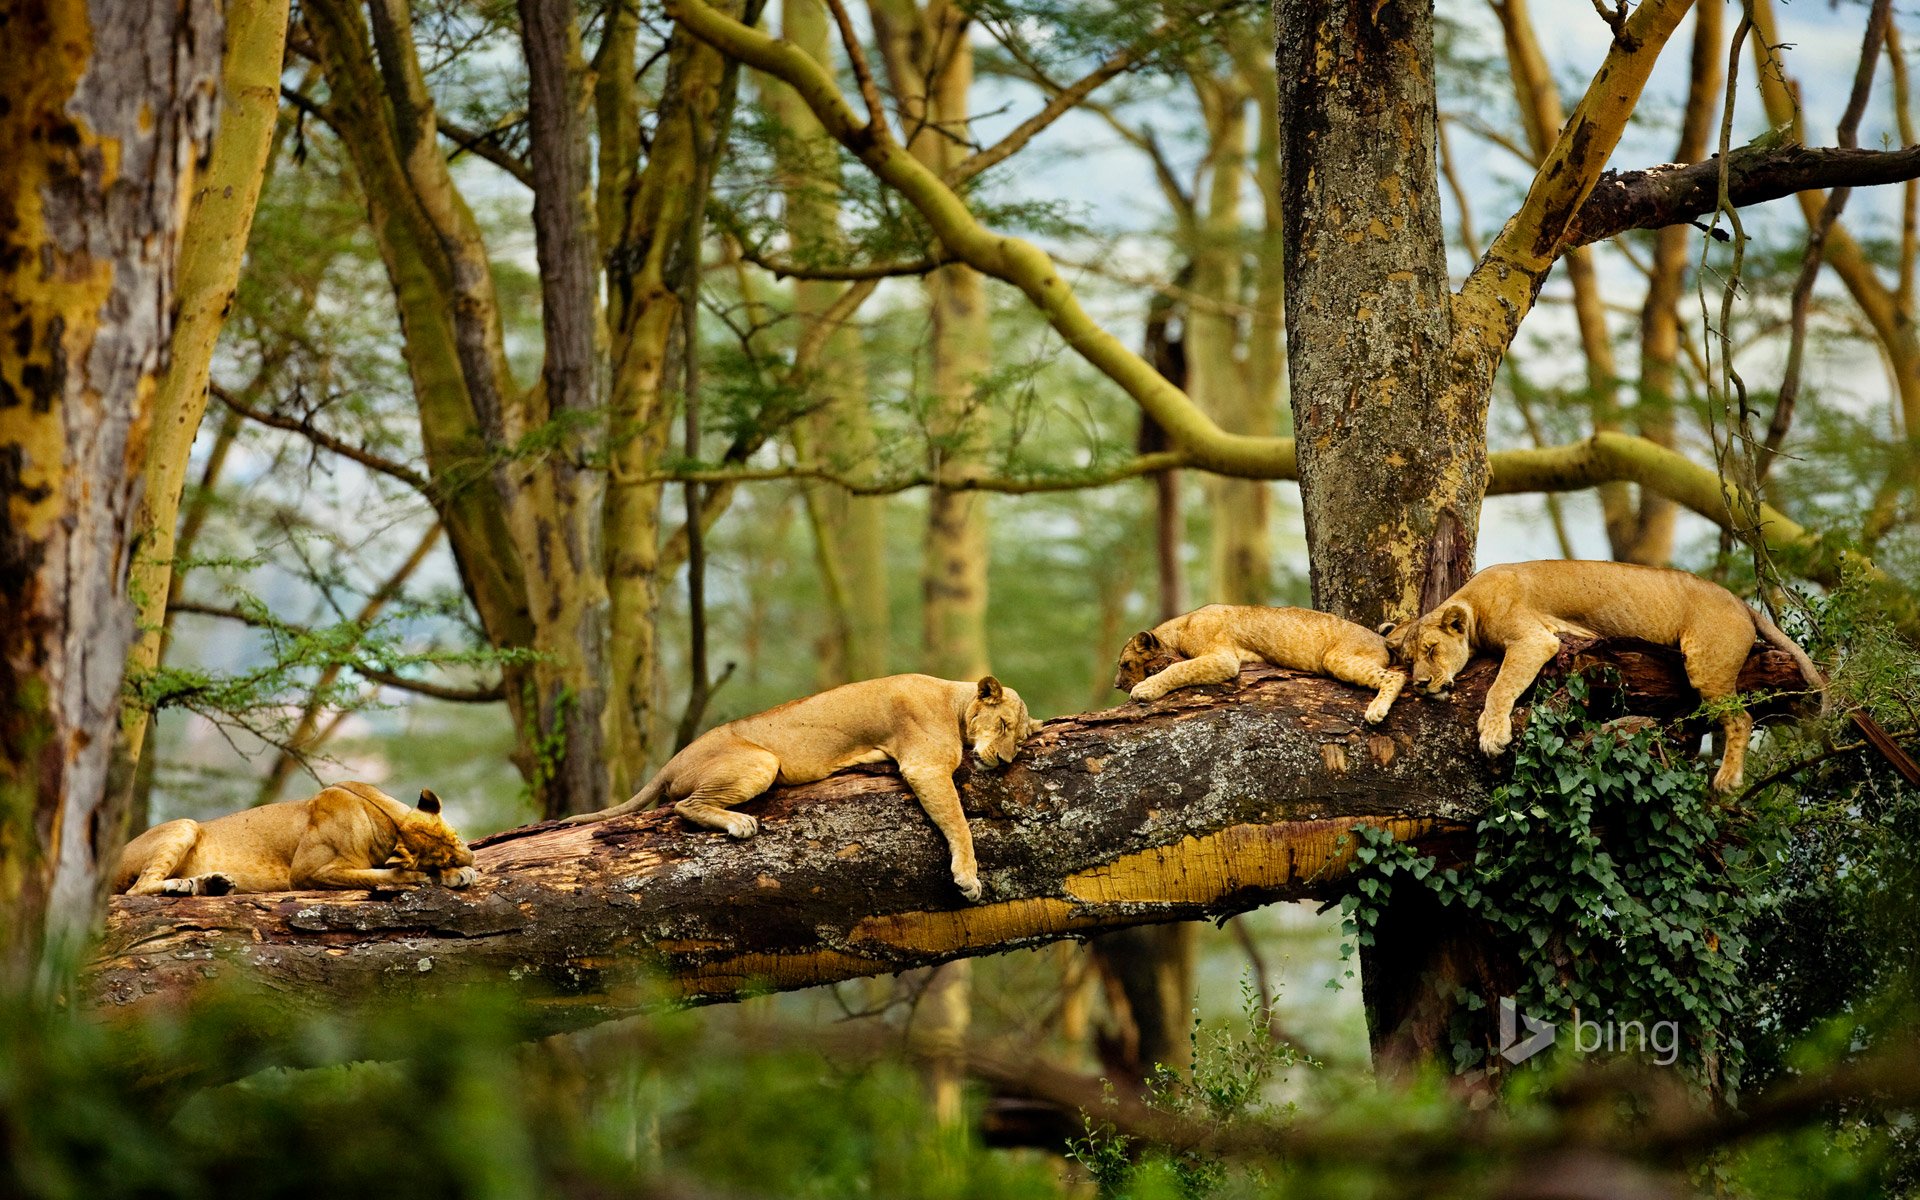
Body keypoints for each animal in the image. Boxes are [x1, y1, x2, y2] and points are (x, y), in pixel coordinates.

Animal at [112, 782, 477, 896]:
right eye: (441, 858)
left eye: (459, 839)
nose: (472, 859)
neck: (388, 821)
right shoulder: (307, 872)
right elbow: (375, 875)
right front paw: (427, 876)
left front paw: (461, 873)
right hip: (185, 825)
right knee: (137, 889)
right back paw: (181, 885)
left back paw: (210, 883)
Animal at [561, 674, 1037, 903]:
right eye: (1002, 724)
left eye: (1019, 740)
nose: (1004, 760)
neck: (955, 700)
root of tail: (672, 761)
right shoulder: (926, 766)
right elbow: (960, 824)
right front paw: (968, 877)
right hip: (761, 761)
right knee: (684, 805)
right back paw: (739, 823)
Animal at [1114, 604, 1407, 724]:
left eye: (1125, 664)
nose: (1116, 685)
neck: (1178, 628)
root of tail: (1383, 640)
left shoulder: (1223, 657)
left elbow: (1179, 668)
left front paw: (1144, 689)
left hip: (1337, 657)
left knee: (1397, 677)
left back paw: (1376, 710)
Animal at [1379, 560, 1825, 793]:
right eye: (1407, 659)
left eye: (1432, 651)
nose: (1421, 683)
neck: (1471, 602)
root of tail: (1741, 602)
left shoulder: (1534, 640)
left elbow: (1500, 686)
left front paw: (1492, 734)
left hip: (1707, 664)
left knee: (1740, 718)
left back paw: (1728, 780)